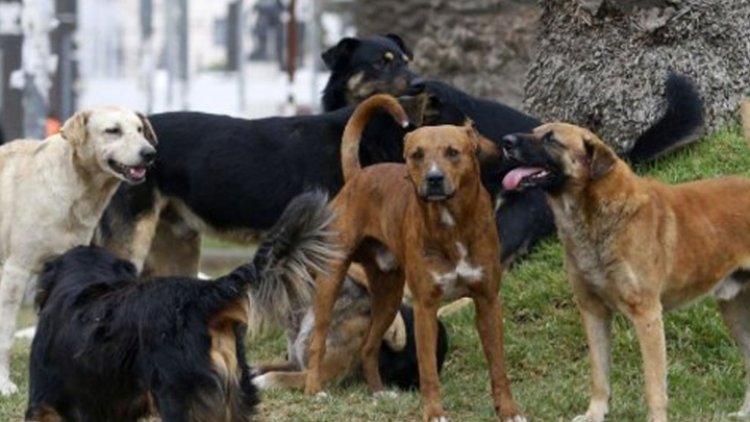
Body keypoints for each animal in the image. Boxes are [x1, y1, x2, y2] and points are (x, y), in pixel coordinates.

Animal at [0, 106, 156, 396]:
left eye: (140, 130)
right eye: (113, 131)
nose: (149, 153)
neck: (74, 186)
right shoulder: (16, 271)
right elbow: (5, 335)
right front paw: (4, 384)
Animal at [306, 95, 528, 422]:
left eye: (453, 152)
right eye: (417, 154)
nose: (434, 179)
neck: (451, 224)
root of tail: (358, 175)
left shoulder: (487, 300)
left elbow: (498, 366)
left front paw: (509, 411)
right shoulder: (426, 307)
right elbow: (428, 372)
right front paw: (434, 412)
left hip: (389, 294)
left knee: (368, 346)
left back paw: (378, 392)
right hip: (331, 280)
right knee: (318, 340)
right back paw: (314, 389)